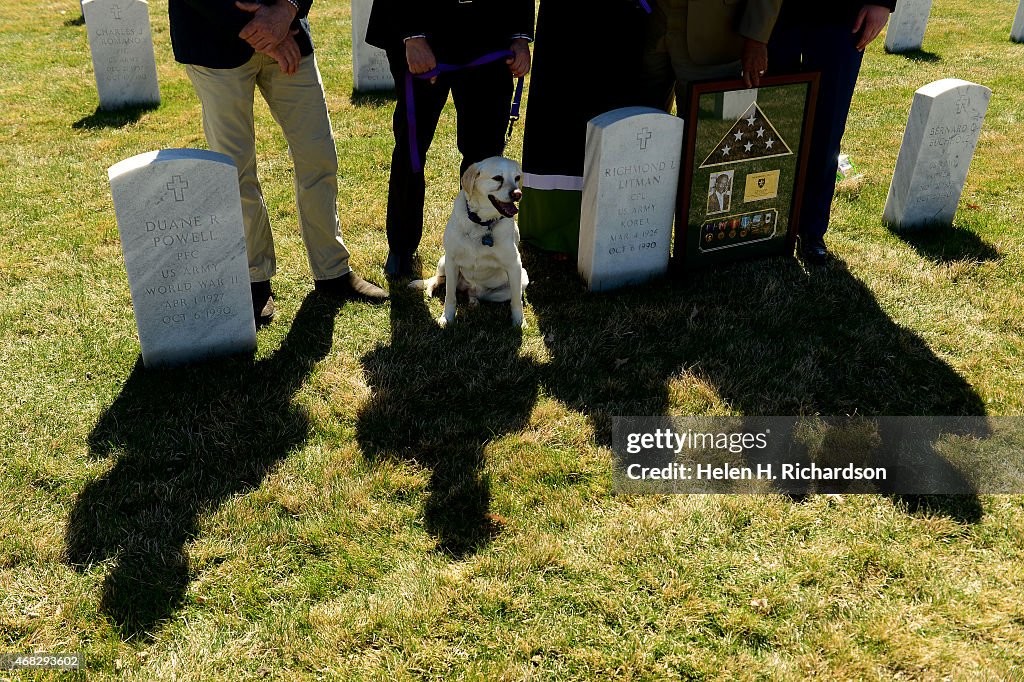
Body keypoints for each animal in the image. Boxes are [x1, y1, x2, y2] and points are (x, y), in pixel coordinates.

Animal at [411, 156, 532, 327]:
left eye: (517, 178)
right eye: (497, 178)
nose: (517, 194)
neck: (482, 223)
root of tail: (471, 288)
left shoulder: (514, 265)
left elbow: (516, 301)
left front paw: (519, 322)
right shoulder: (452, 260)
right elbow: (450, 296)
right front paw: (447, 317)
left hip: (521, 279)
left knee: (479, 295)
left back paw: (473, 301)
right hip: (444, 261)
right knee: (439, 279)